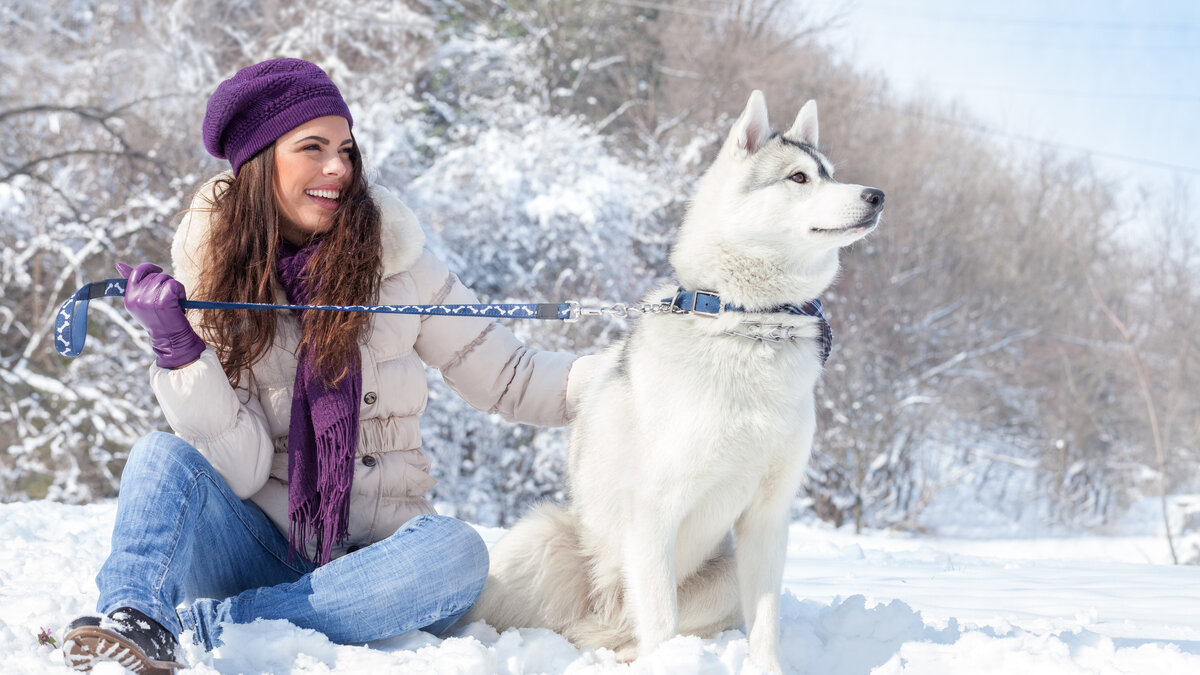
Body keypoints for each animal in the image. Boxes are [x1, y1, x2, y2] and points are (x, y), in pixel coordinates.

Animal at [463, 91, 888, 667]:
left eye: (831, 173)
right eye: (799, 178)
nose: (877, 195)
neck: (748, 325)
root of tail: (602, 617)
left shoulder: (768, 518)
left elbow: (766, 624)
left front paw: (767, 668)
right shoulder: (654, 512)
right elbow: (661, 620)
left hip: (723, 577)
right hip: (541, 538)